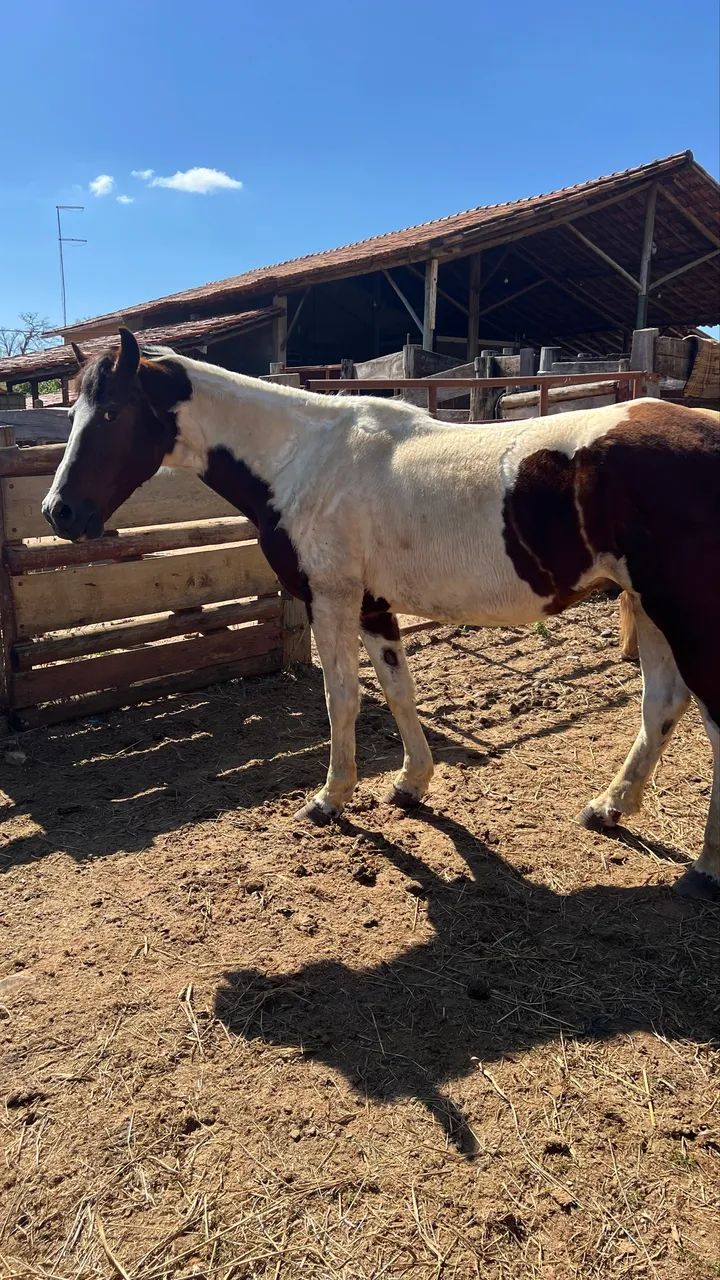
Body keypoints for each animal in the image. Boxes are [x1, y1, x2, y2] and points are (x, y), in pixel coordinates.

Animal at [42, 328, 720, 902]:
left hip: (685, 612)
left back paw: (705, 869)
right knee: (662, 705)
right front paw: (411, 784)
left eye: (111, 412)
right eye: (73, 414)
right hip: (652, 608)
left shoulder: (333, 598)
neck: (303, 460)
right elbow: (397, 690)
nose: (59, 512)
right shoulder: (372, 607)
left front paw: (330, 799)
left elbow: (342, 697)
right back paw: (609, 807)